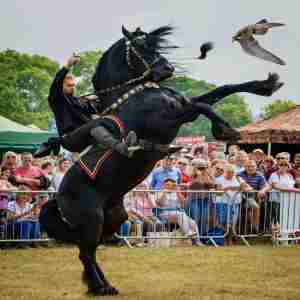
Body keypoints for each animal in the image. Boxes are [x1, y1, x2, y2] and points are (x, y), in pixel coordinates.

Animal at [39, 25, 284, 296]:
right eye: (140, 45)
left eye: (155, 43)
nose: (167, 69)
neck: (135, 95)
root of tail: (58, 196)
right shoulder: (170, 118)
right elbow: (203, 106)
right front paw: (225, 130)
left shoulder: (182, 106)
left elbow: (222, 90)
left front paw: (266, 85)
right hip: (93, 218)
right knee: (86, 252)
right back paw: (100, 287)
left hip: (114, 217)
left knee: (89, 251)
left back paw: (102, 284)